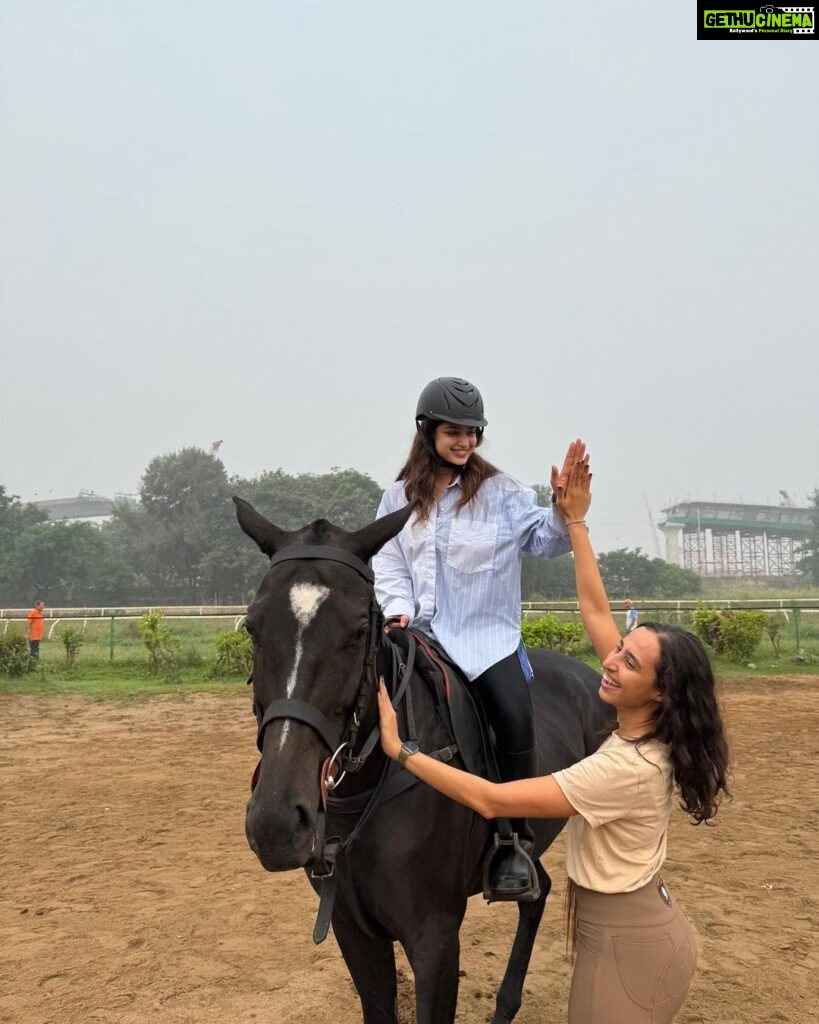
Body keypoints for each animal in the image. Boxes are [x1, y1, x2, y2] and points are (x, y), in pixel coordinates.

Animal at [233, 497, 610, 1024]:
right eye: (253, 627)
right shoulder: (354, 931)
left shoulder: (434, 939)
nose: (276, 822)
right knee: (539, 893)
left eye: (358, 632)